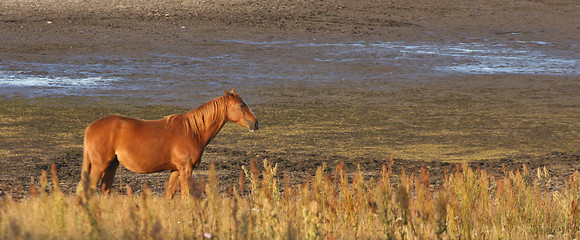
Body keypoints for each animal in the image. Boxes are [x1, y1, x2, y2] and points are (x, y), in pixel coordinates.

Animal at [78, 89, 258, 198]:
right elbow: (185, 196)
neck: (192, 131)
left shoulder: (175, 171)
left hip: (112, 166)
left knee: (104, 190)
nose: (255, 123)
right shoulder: (186, 169)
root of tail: (90, 128)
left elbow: (169, 195)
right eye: (241, 105)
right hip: (100, 165)